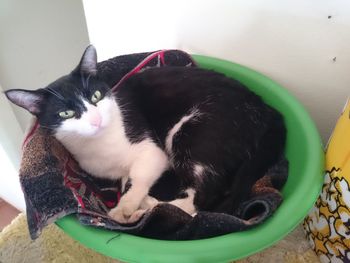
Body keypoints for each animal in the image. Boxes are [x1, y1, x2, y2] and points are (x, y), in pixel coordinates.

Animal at [4, 46, 288, 225]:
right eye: (65, 113)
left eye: (95, 96)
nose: (95, 120)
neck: (100, 145)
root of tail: (266, 109)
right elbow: (123, 179)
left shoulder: (151, 149)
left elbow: (140, 175)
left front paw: (125, 207)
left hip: (192, 133)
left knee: (204, 199)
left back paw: (152, 206)